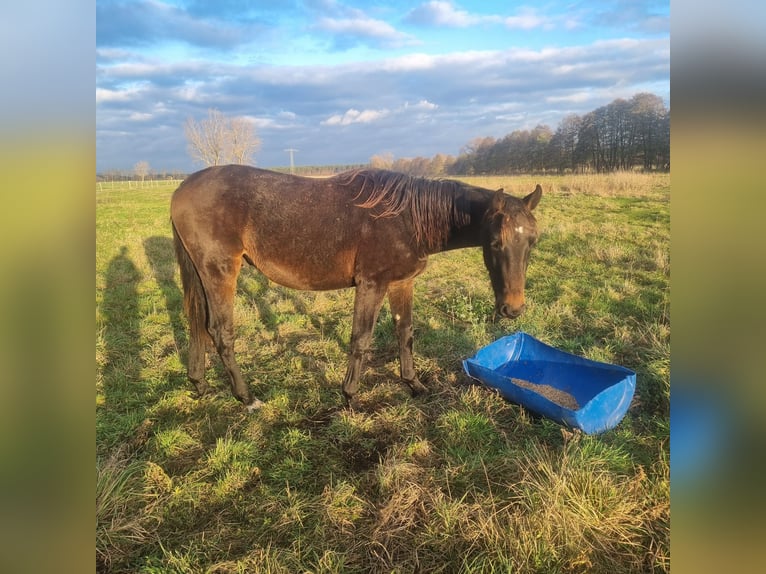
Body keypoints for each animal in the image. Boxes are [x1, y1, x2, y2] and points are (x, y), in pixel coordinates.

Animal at [172, 164, 544, 412]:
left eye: (533, 241)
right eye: (495, 243)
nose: (513, 308)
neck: (408, 218)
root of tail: (181, 190)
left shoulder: (402, 283)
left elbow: (405, 334)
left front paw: (414, 384)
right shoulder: (371, 284)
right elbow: (361, 340)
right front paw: (350, 396)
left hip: (202, 274)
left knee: (198, 326)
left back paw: (199, 384)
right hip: (220, 272)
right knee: (220, 332)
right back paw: (247, 398)